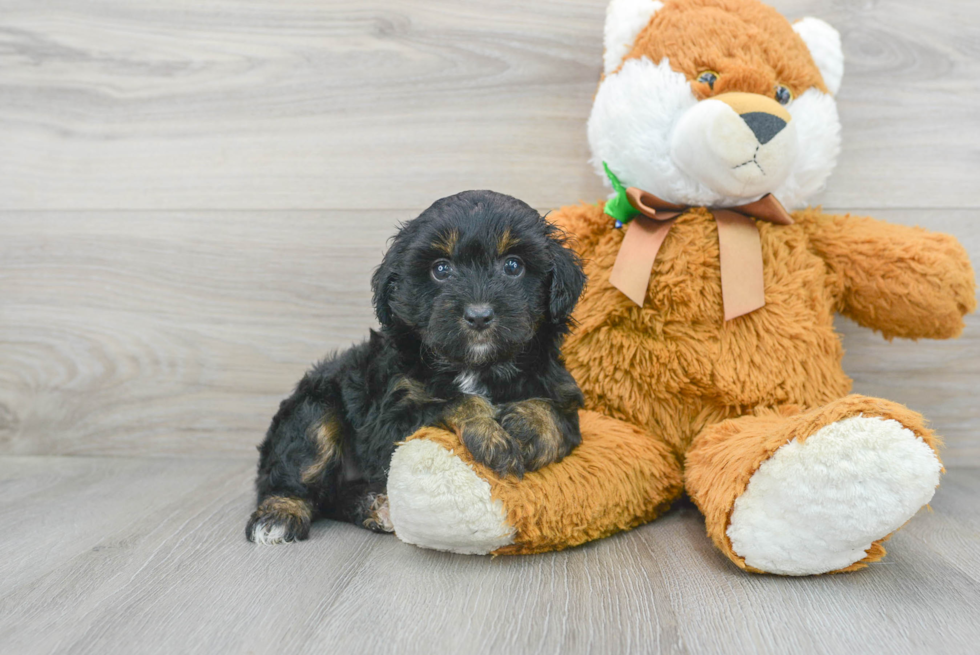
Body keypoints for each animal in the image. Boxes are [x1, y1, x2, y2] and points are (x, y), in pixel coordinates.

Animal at [249, 190, 584, 544]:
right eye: (441, 269)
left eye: (513, 266)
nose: (479, 315)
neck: (476, 365)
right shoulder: (391, 419)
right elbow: (455, 402)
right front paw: (487, 432)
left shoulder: (562, 391)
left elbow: (559, 418)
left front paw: (529, 426)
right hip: (314, 408)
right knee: (299, 469)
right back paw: (279, 514)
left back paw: (374, 506)